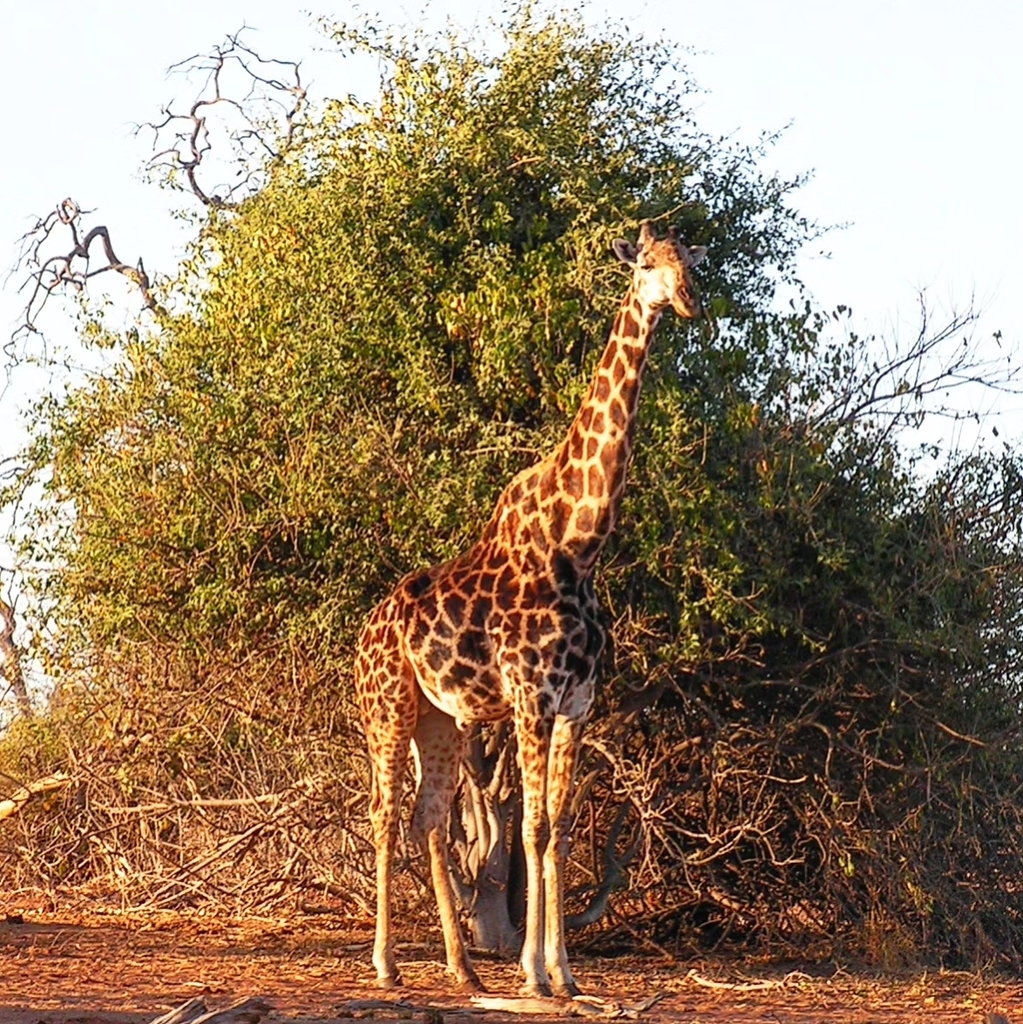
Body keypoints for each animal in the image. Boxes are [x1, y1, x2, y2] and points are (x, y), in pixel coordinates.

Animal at [353, 221, 706, 997]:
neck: (579, 543)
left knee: (428, 816)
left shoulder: (577, 701)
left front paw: (562, 975)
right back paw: (387, 964)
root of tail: (363, 631)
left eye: (692, 263)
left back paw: (462, 969)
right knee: (384, 815)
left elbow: (560, 829)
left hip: (440, 720)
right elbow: (532, 829)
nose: (688, 301)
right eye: (645, 264)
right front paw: (534, 976)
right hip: (387, 709)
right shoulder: (529, 695)